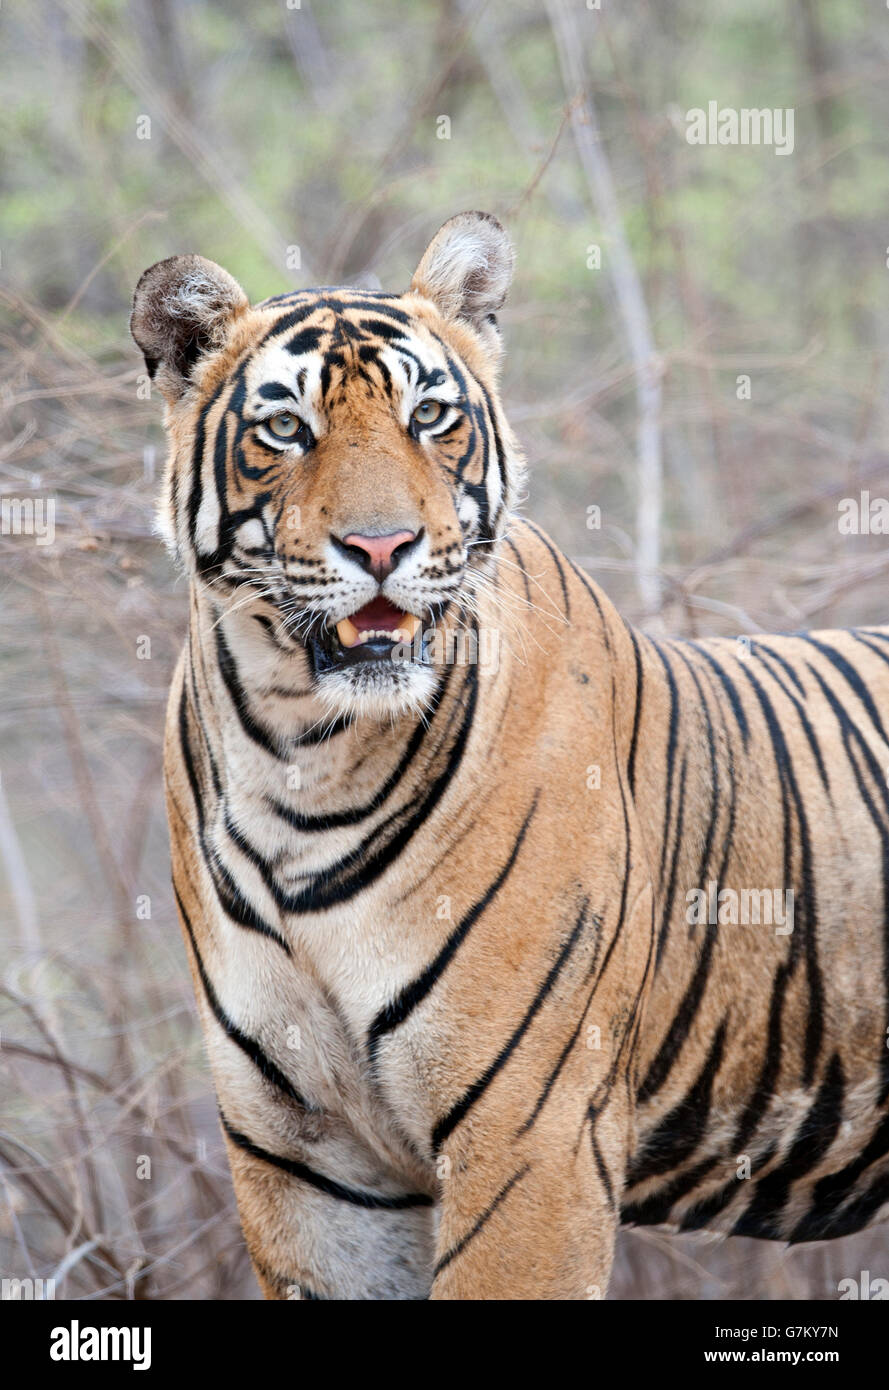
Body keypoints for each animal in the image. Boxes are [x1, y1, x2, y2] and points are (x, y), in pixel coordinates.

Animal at [130, 211, 889, 1295]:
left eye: (430, 416)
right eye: (286, 430)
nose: (382, 547)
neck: (301, 755)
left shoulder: (529, 1138)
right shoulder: (306, 1161)